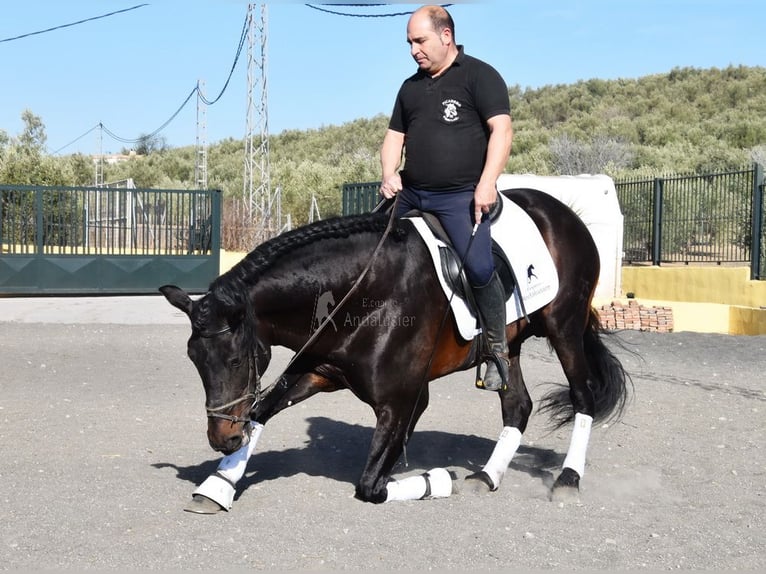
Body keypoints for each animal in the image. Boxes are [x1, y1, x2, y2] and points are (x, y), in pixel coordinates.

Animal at [160, 187, 632, 510]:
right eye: (194, 360)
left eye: (237, 358)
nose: (222, 438)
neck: (362, 293)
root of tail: (560, 211)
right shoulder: (318, 371)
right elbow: (261, 411)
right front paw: (218, 486)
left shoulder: (405, 400)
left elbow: (370, 486)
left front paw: (438, 481)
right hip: (509, 345)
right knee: (517, 405)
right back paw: (487, 476)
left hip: (563, 328)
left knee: (584, 396)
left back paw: (567, 479)